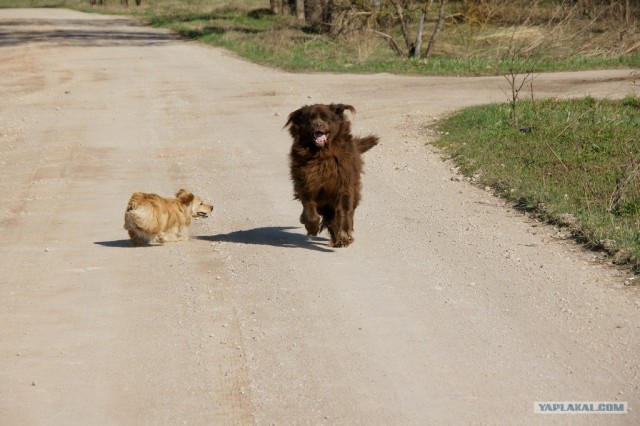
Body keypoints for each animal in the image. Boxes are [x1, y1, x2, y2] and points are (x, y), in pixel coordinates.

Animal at [284, 103, 380, 248]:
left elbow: (344, 212)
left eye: (326, 118)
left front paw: (344, 237)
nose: (318, 125)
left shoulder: (343, 185)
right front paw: (311, 227)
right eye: (310, 118)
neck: (321, 155)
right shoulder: (306, 184)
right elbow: (309, 210)